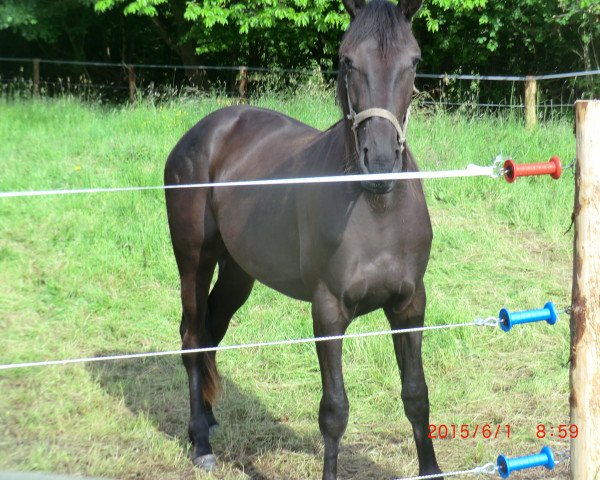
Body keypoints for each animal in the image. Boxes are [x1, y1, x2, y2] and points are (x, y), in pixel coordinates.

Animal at [163, 1, 440, 478]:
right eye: (347, 60)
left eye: (414, 60)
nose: (381, 161)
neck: (377, 209)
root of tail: (203, 131)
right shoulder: (327, 312)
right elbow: (334, 411)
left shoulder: (409, 305)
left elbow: (416, 395)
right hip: (193, 260)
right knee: (193, 338)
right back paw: (200, 441)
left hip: (238, 272)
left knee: (212, 330)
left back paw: (210, 419)